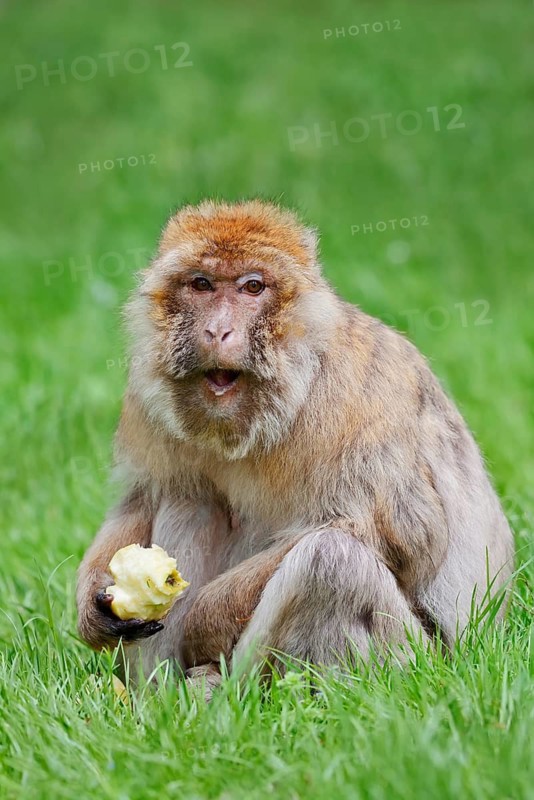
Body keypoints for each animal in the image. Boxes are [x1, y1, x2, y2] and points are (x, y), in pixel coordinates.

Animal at [77, 200, 514, 693]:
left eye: (252, 287)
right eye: (202, 284)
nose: (218, 331)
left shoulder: (355, 399)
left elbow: (397, 536)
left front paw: (205, 619)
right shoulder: (146, 399)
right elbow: (142, 499)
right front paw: (95, 606)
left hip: (410, 660)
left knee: (333, 561)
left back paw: (227, 692)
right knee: (189, 497)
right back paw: (160, 696)